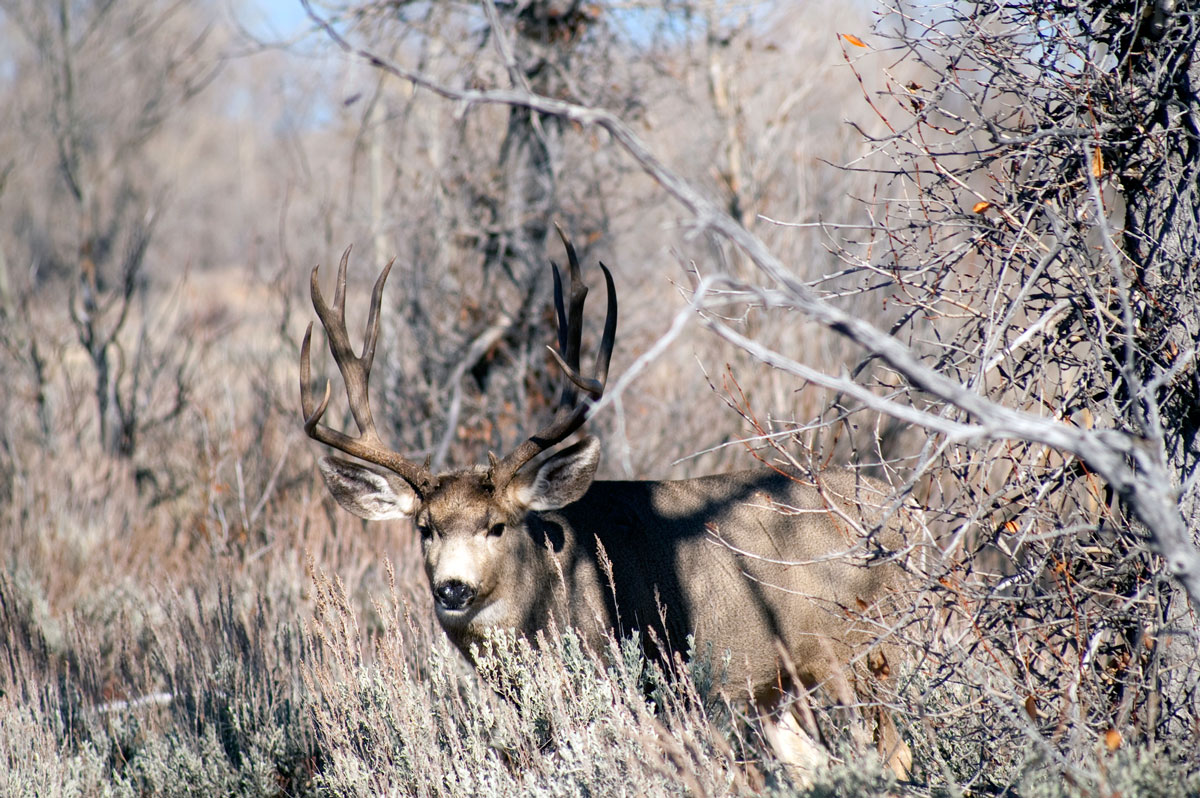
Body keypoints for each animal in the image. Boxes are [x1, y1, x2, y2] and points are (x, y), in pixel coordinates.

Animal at [299, 233, 914, 778]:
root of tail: (901, 512)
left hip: (865, 652)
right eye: (425, 528)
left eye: (497, 526)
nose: (453, 588)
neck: (551, 601)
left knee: (894, 753)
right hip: (781, 691)